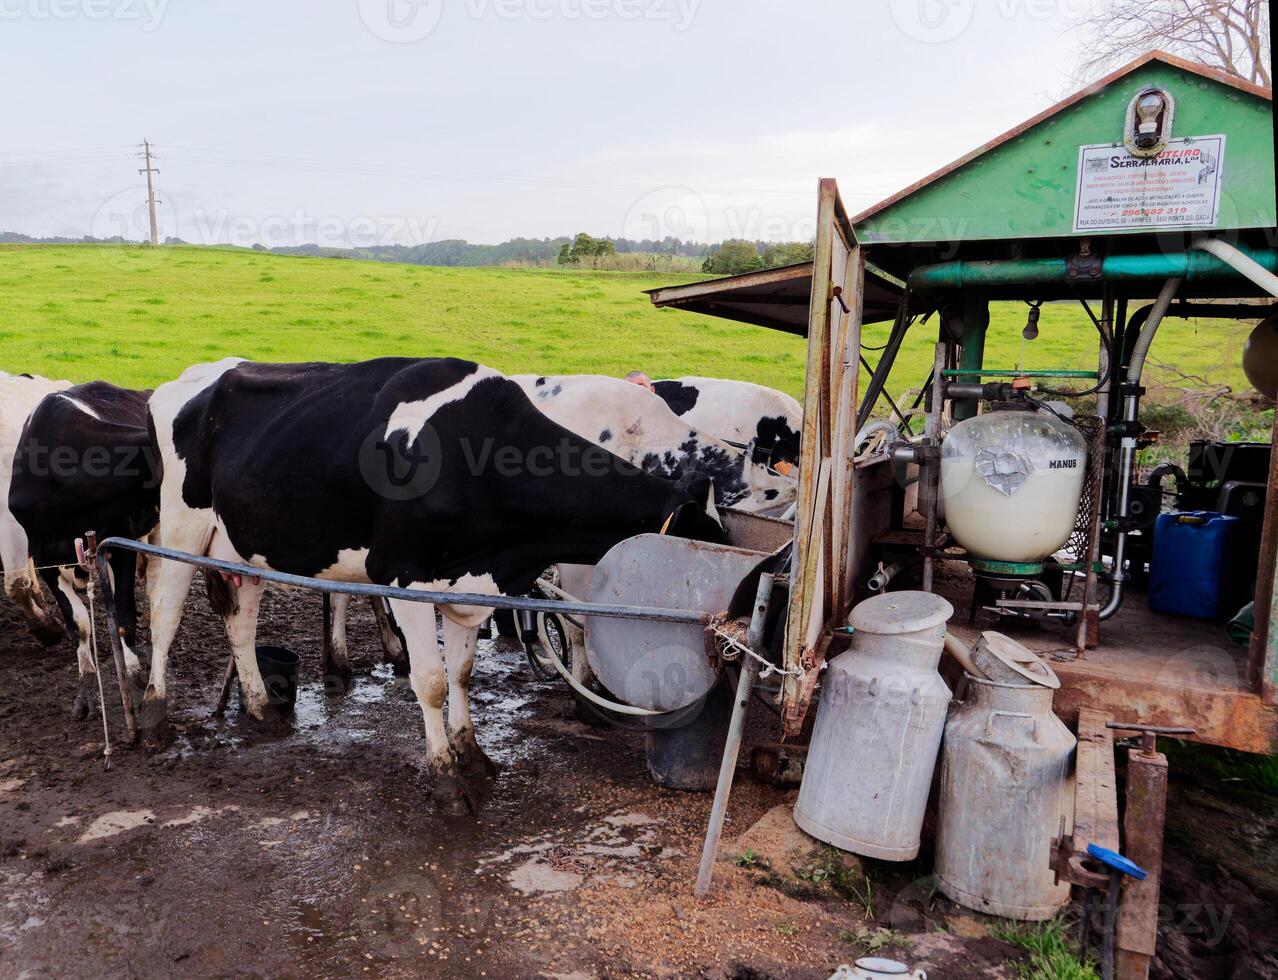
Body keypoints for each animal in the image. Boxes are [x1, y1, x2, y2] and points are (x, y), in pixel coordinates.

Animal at [7, 380, 159, 715]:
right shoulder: (45, 560)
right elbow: (77, 624)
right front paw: (86, 690)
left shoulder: (121, 547)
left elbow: (123, 615)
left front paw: (133, 676)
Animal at [141, 357, 725, 807]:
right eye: (705, 552)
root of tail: (188, 378)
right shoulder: (405, 578)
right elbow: (431, 682)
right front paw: (445, 779)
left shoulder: (468, 584)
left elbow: (462, 673)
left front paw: (473, 755)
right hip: (181, 526)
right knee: (165, 614)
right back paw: (153, 717)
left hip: (242, 546)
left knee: (240, 622)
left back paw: (262, 709)